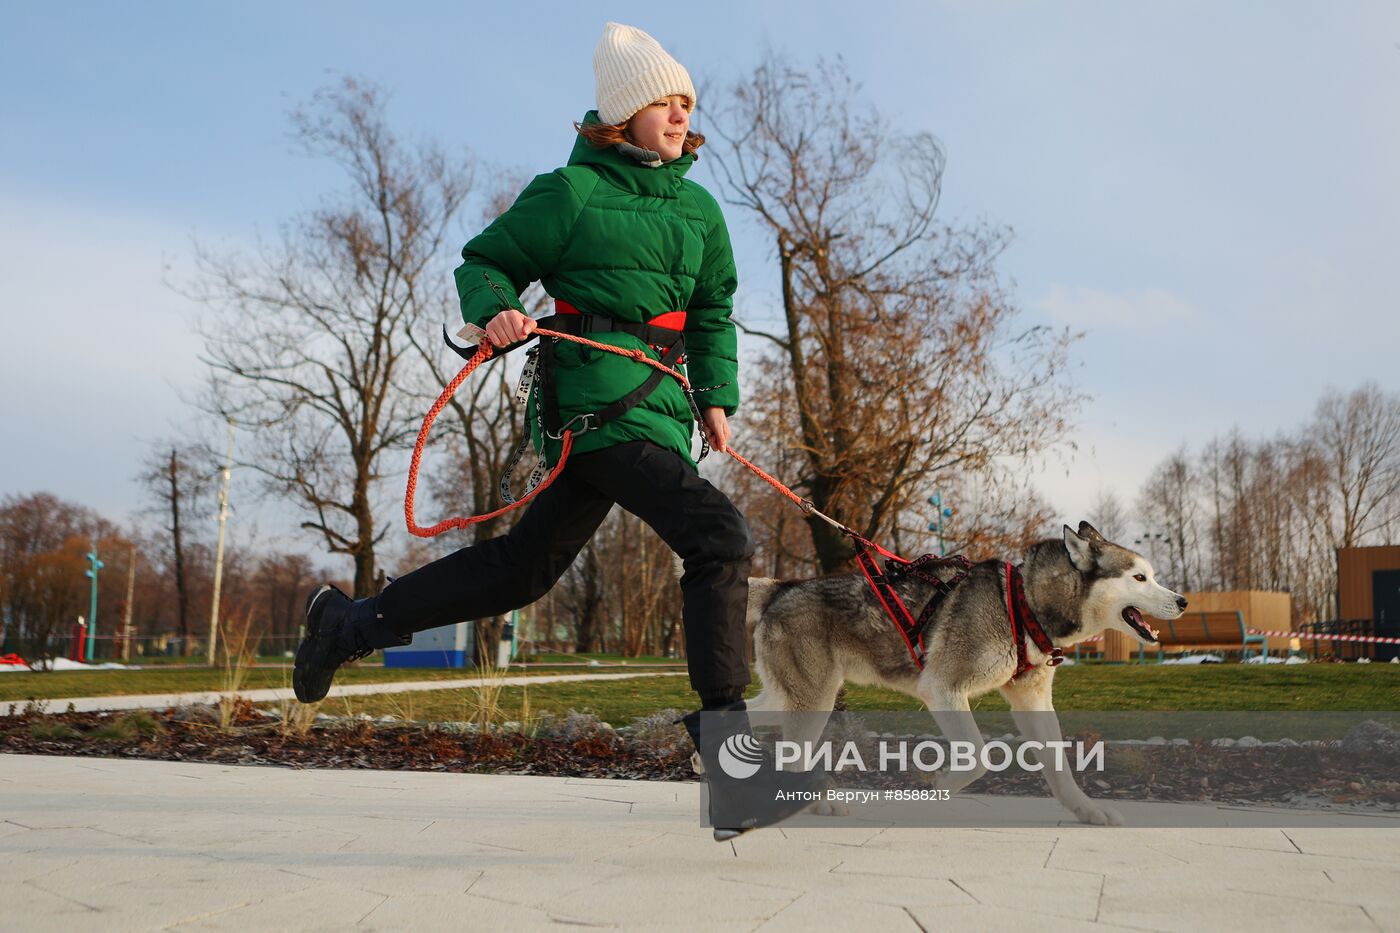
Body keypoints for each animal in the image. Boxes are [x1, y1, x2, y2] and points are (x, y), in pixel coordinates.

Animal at [744, 518, 1181, 823]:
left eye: (1152, 576)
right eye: (1140, 577)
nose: (1183, 601)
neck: (1022, 604)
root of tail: (782, 586)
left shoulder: (1032, 702)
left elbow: (1060, 769)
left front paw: (1088, 811)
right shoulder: (942, 688)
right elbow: (980, 757)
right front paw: (941, 784)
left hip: (792, 697)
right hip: (814, 700)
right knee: (792, 757)